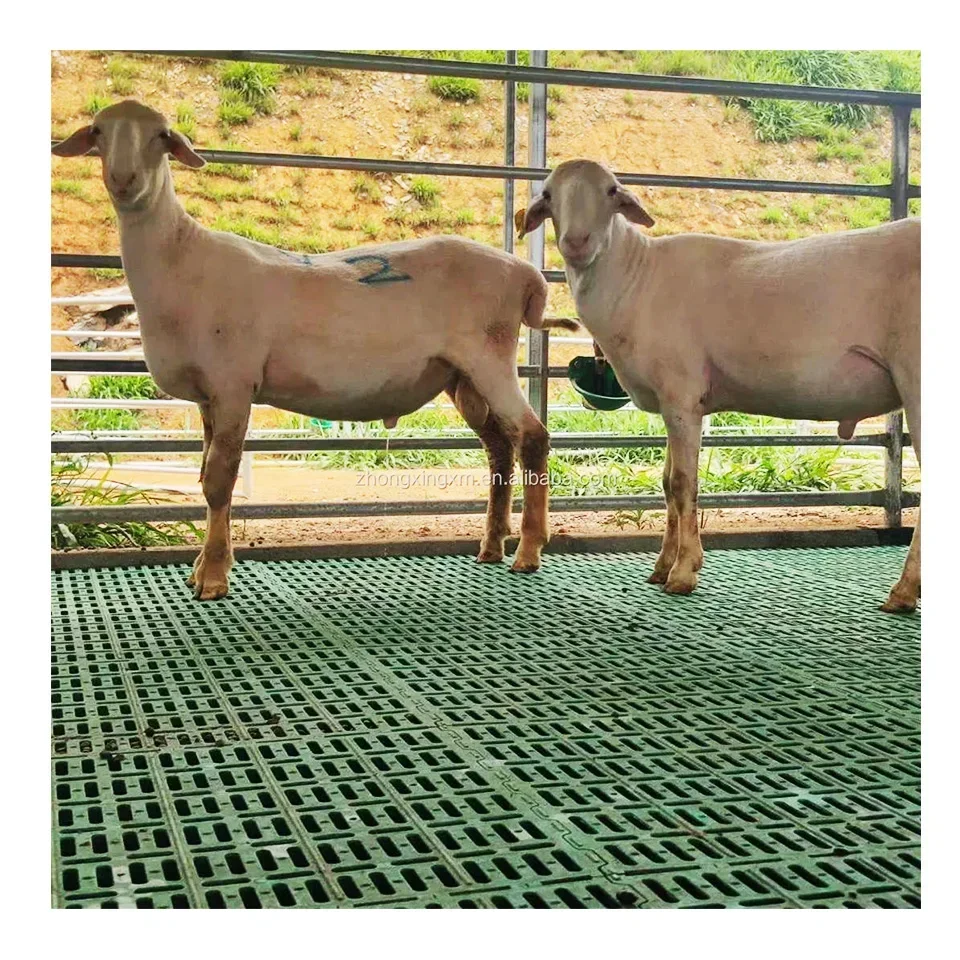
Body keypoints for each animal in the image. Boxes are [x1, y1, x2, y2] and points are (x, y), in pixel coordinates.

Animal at [53, 100, 577, 598]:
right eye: (98, 131)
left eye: (161, 136)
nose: (124, 180)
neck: (180, 258)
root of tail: (527, 276)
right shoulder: (207, 395)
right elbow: (203, 477)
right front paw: (201, 568)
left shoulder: (232, 383)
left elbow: (219, 480)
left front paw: (214, 577)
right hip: (460, 375)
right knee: (499, 446)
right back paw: (491, 545)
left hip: (489, 357)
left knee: (532, 437)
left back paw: (529, 550)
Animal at [519, 159, 920, 613]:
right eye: (548, 194)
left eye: (611, 191)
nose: (576, 242)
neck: (636, 278)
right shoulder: (675, 401)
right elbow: (667, 484)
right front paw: (662, 567)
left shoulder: (681, 393)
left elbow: (683, 484)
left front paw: (683, 571)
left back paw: (903, 593)